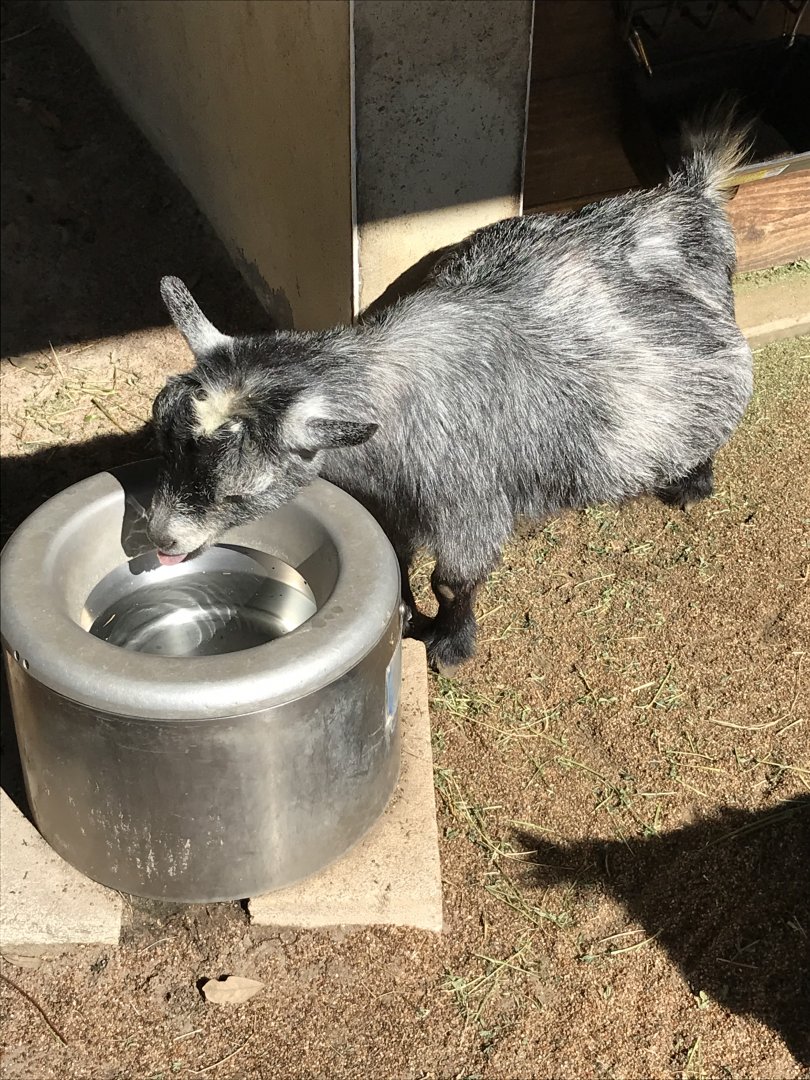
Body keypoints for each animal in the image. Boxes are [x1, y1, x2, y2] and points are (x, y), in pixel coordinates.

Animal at [147, 106, 753, 670]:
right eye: (165, 448)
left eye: (239, 491)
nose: (161, 540)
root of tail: (689, 194)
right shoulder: (384, 501)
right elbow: (394, 557)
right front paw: (404, 613)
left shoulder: (469, 502)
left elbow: (453, 579)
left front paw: (451, 643)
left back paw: (693, 483)